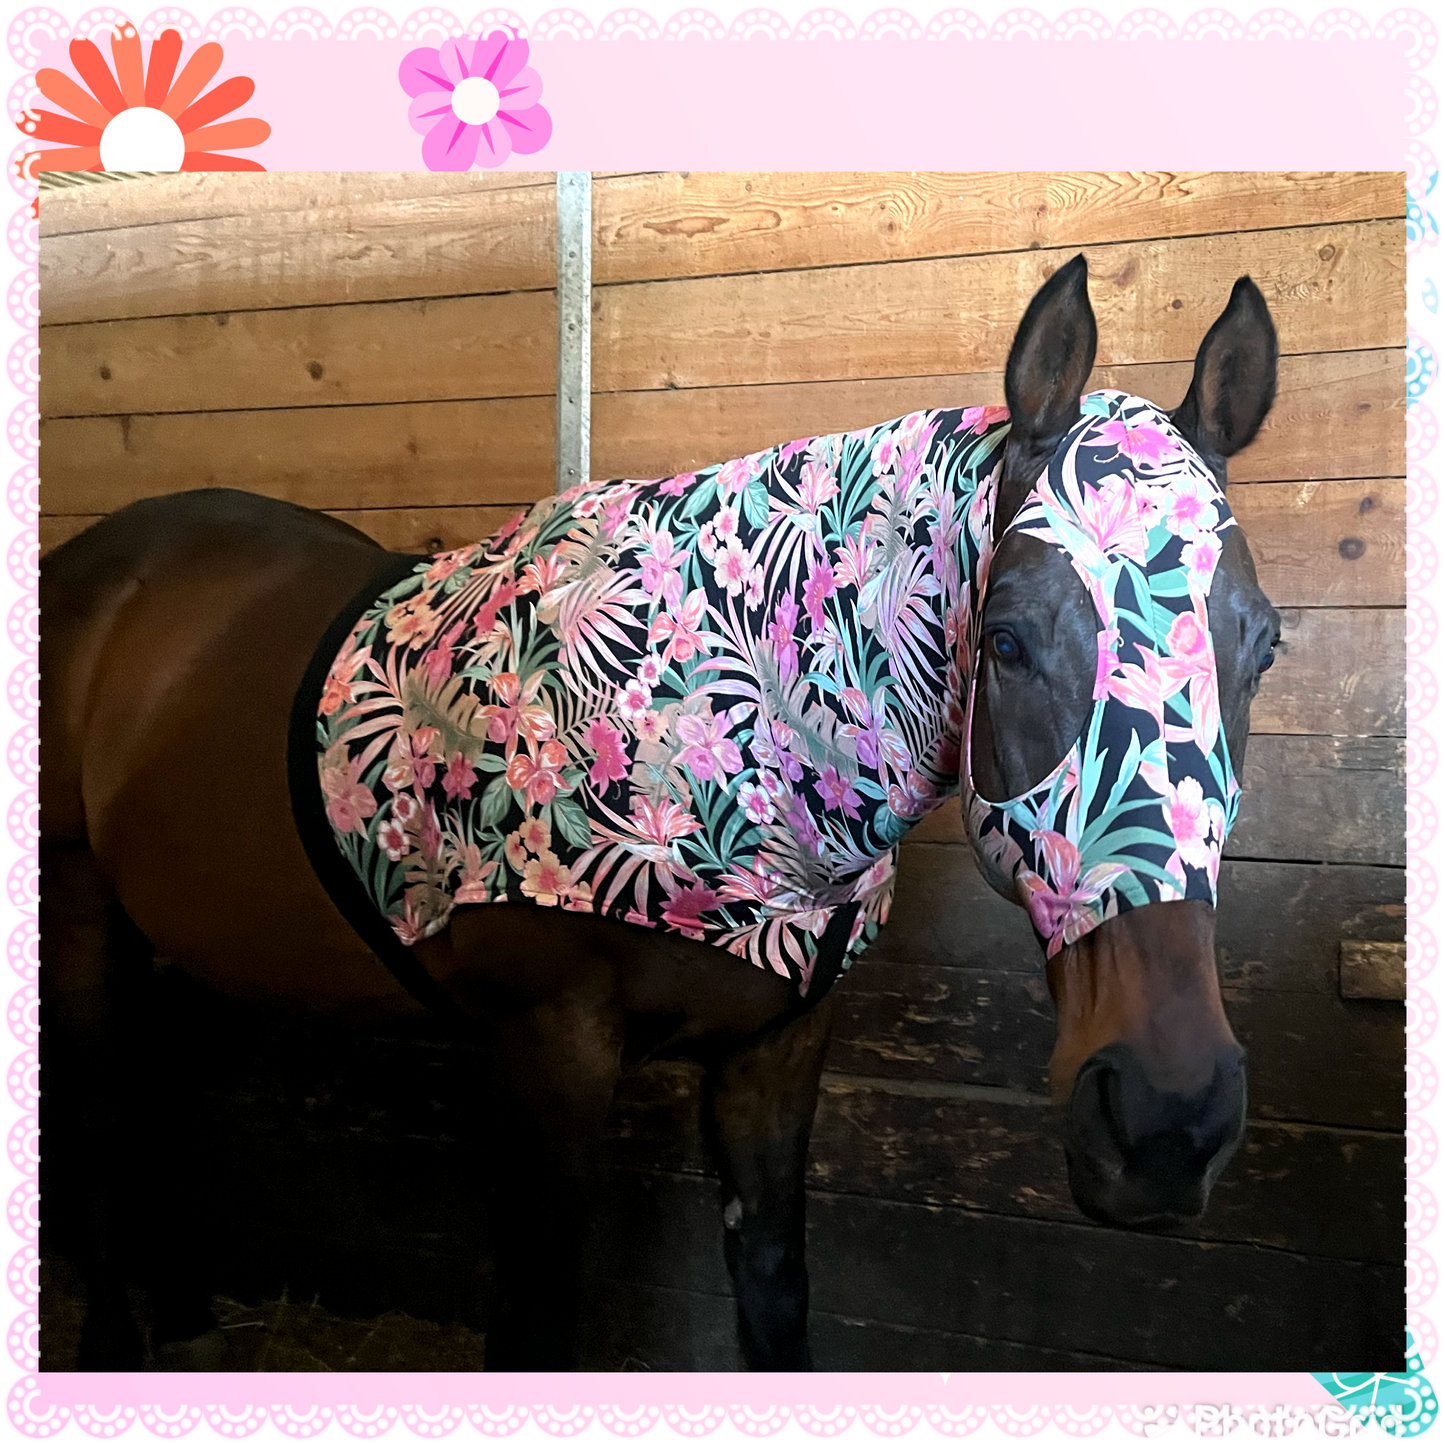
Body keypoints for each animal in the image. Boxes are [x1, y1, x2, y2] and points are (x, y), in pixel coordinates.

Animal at [38, 253, 1282, 1371]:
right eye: (1010, 640)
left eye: (1261, 645)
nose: (1167, 1119)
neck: (714, 722)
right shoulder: (547, 1052)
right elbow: (536, 1324)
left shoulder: (775, 1052)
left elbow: (775, 1296)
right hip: (84, 920)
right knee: (91, 1114)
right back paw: (109, 1344)